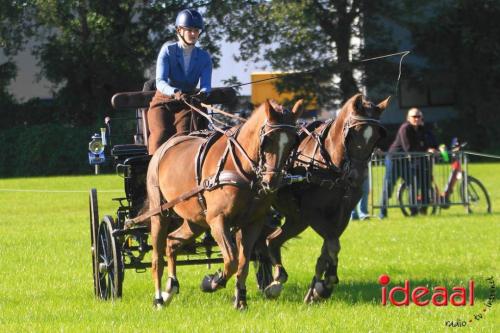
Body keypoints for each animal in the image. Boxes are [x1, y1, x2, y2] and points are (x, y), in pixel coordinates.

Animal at [146, 98, 304, 308]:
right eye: (268, 140)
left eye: (292, 142)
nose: (272, 181)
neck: (242, 170)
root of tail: (165, 147)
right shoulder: (217, 220)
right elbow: (232, 259)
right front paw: (212, 281)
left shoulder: (252, 223)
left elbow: (243, 263)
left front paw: (241, 300)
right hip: (159, 213)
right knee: (157, 256)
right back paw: (158, 298)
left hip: (195, 220)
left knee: (172, 243)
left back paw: (170, 288)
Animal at [264, 92, 388, 300]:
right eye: (353, 133)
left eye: (377, 136)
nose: (356, 177)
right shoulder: (311, 212)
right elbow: (332, 244)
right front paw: (326, 281)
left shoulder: (342, 214)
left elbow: (328, 248)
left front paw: (318, 287)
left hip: (296, 219)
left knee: (272, 240)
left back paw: (276, 279)